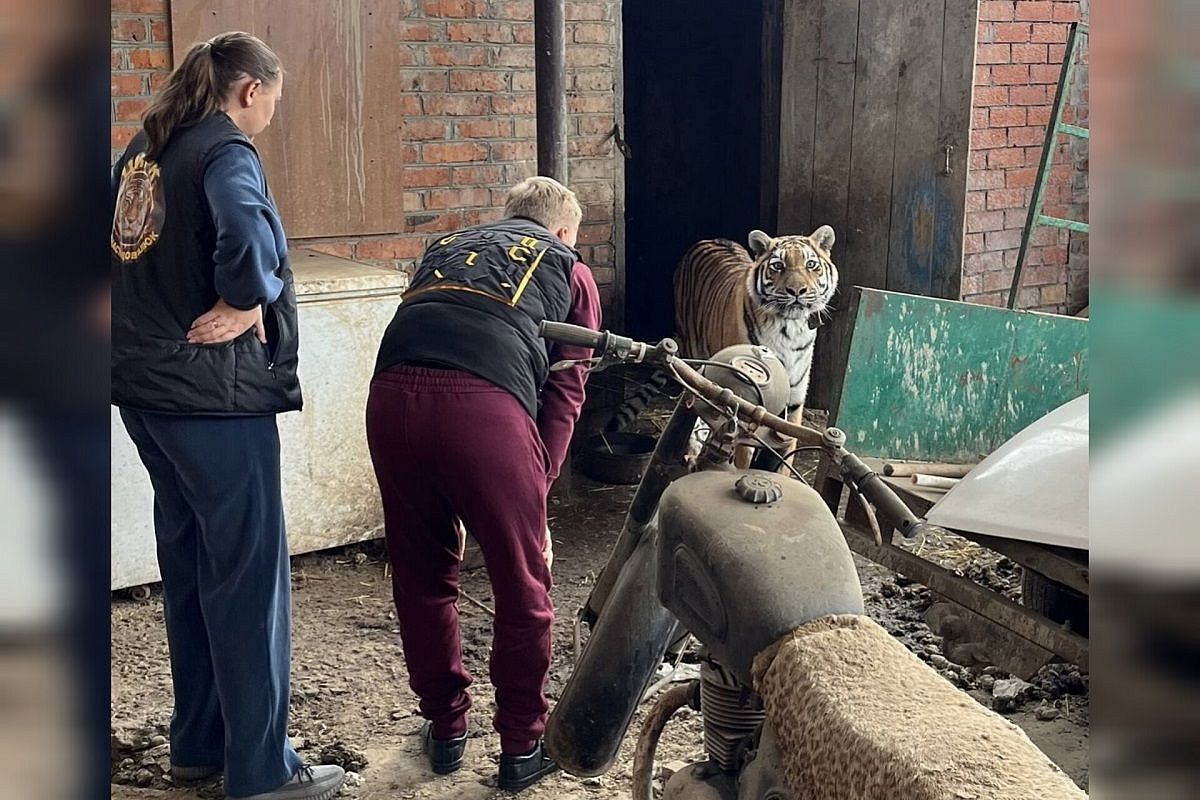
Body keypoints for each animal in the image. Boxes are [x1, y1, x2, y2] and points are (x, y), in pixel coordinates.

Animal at [604, 224, 840, 462]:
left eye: (811, 265)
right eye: (778, 266)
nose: (797, 291)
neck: (789, 329)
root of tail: (710, 239)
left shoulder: (794, 403)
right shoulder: (749, 407)